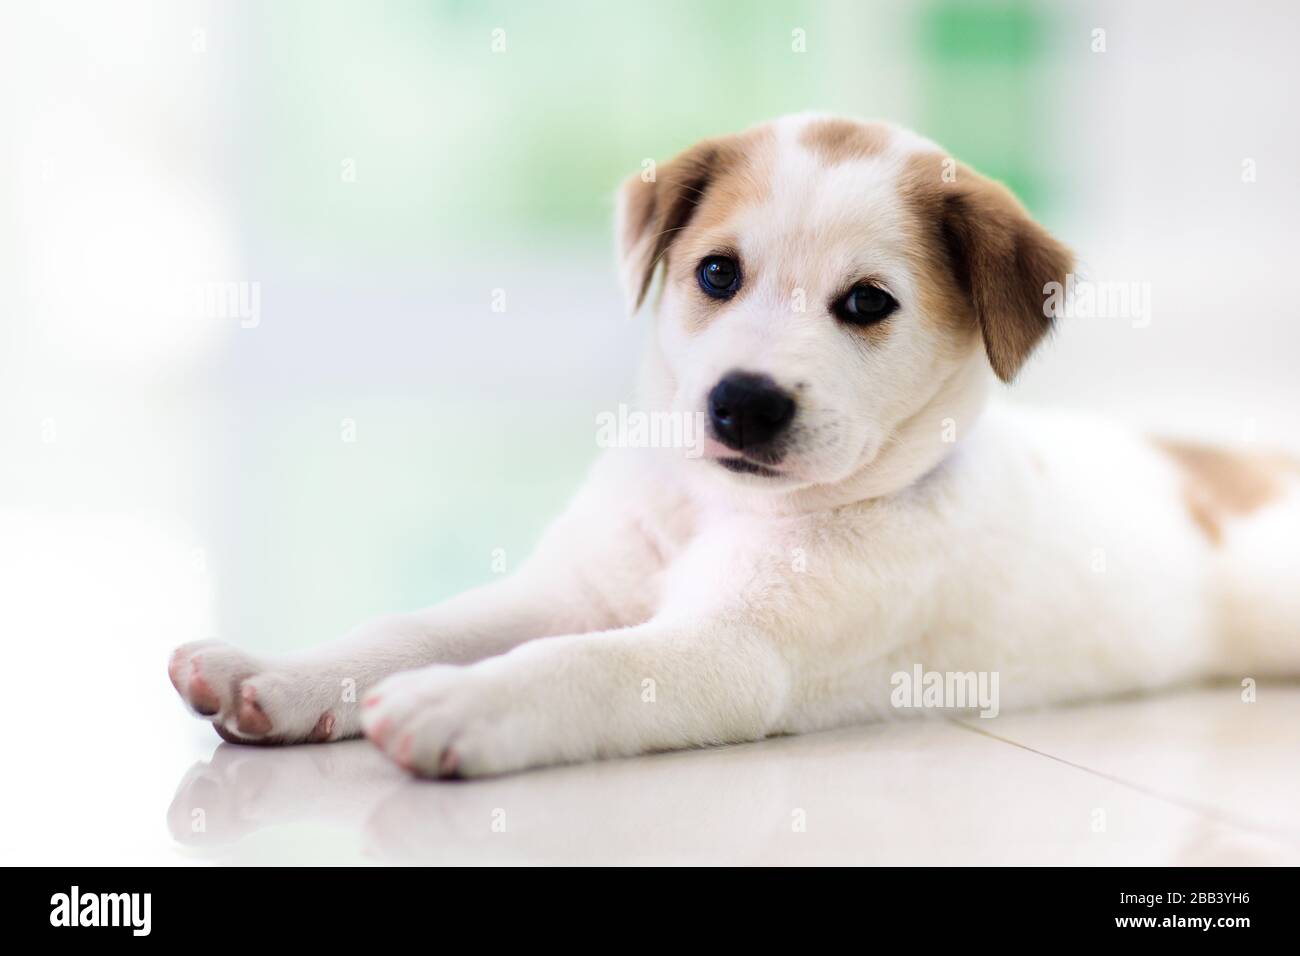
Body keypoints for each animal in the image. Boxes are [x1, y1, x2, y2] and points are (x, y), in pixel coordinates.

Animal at [167, 115, 1294, 780]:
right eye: (716, 273)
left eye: (867, 302)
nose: (741, 405)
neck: (714, 506)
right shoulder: (570, 590)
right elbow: (417, 626)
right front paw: (283, 674)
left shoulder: (729, 651)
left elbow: (580, 666)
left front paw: (467, 697)